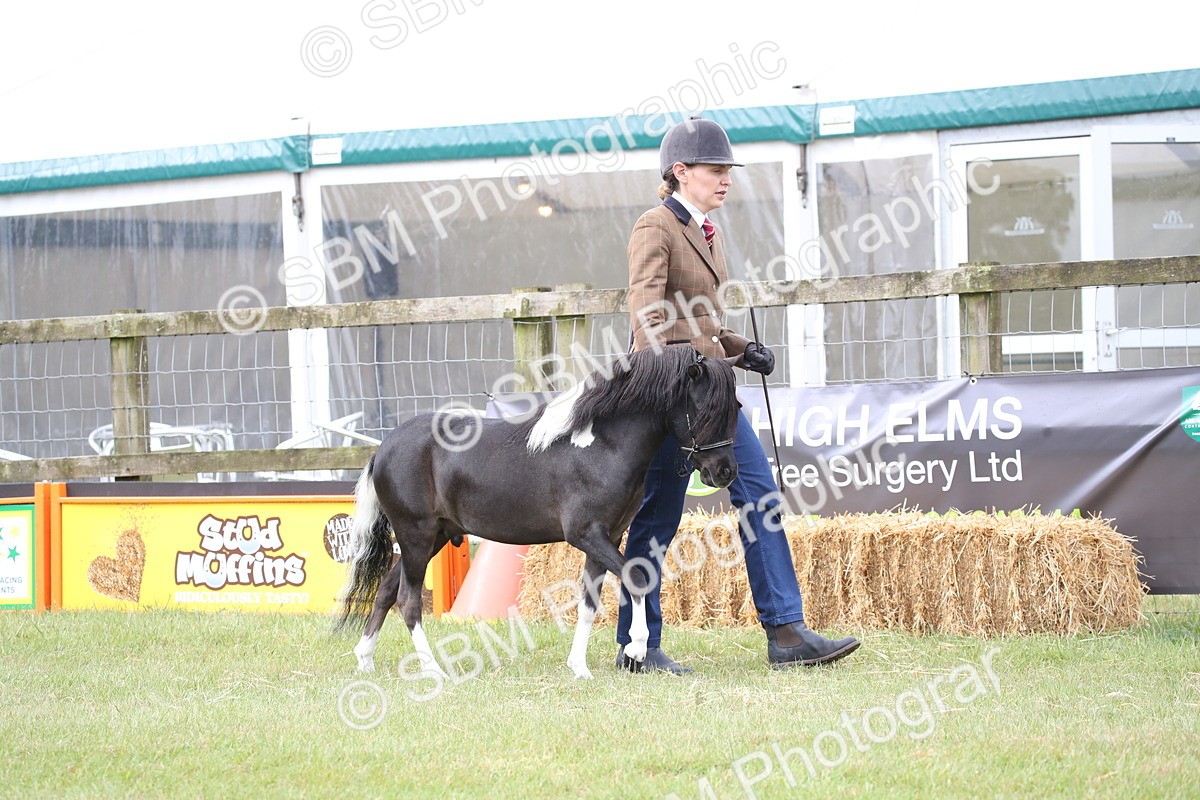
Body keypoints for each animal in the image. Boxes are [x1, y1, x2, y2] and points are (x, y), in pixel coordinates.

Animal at [336, 346, 741, 679]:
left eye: (735, 408)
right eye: (704, 409)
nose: (725, 472)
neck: (602, 445)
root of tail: (383, 448)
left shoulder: (606, 537)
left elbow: (589, 602)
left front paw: (579, 668)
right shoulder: (586, 534)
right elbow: (637, 576)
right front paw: (637, 648)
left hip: (431, 537)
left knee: (386, 590)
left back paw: (365, 660)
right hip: (415, 535)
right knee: (407, 600)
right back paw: (433, 669)